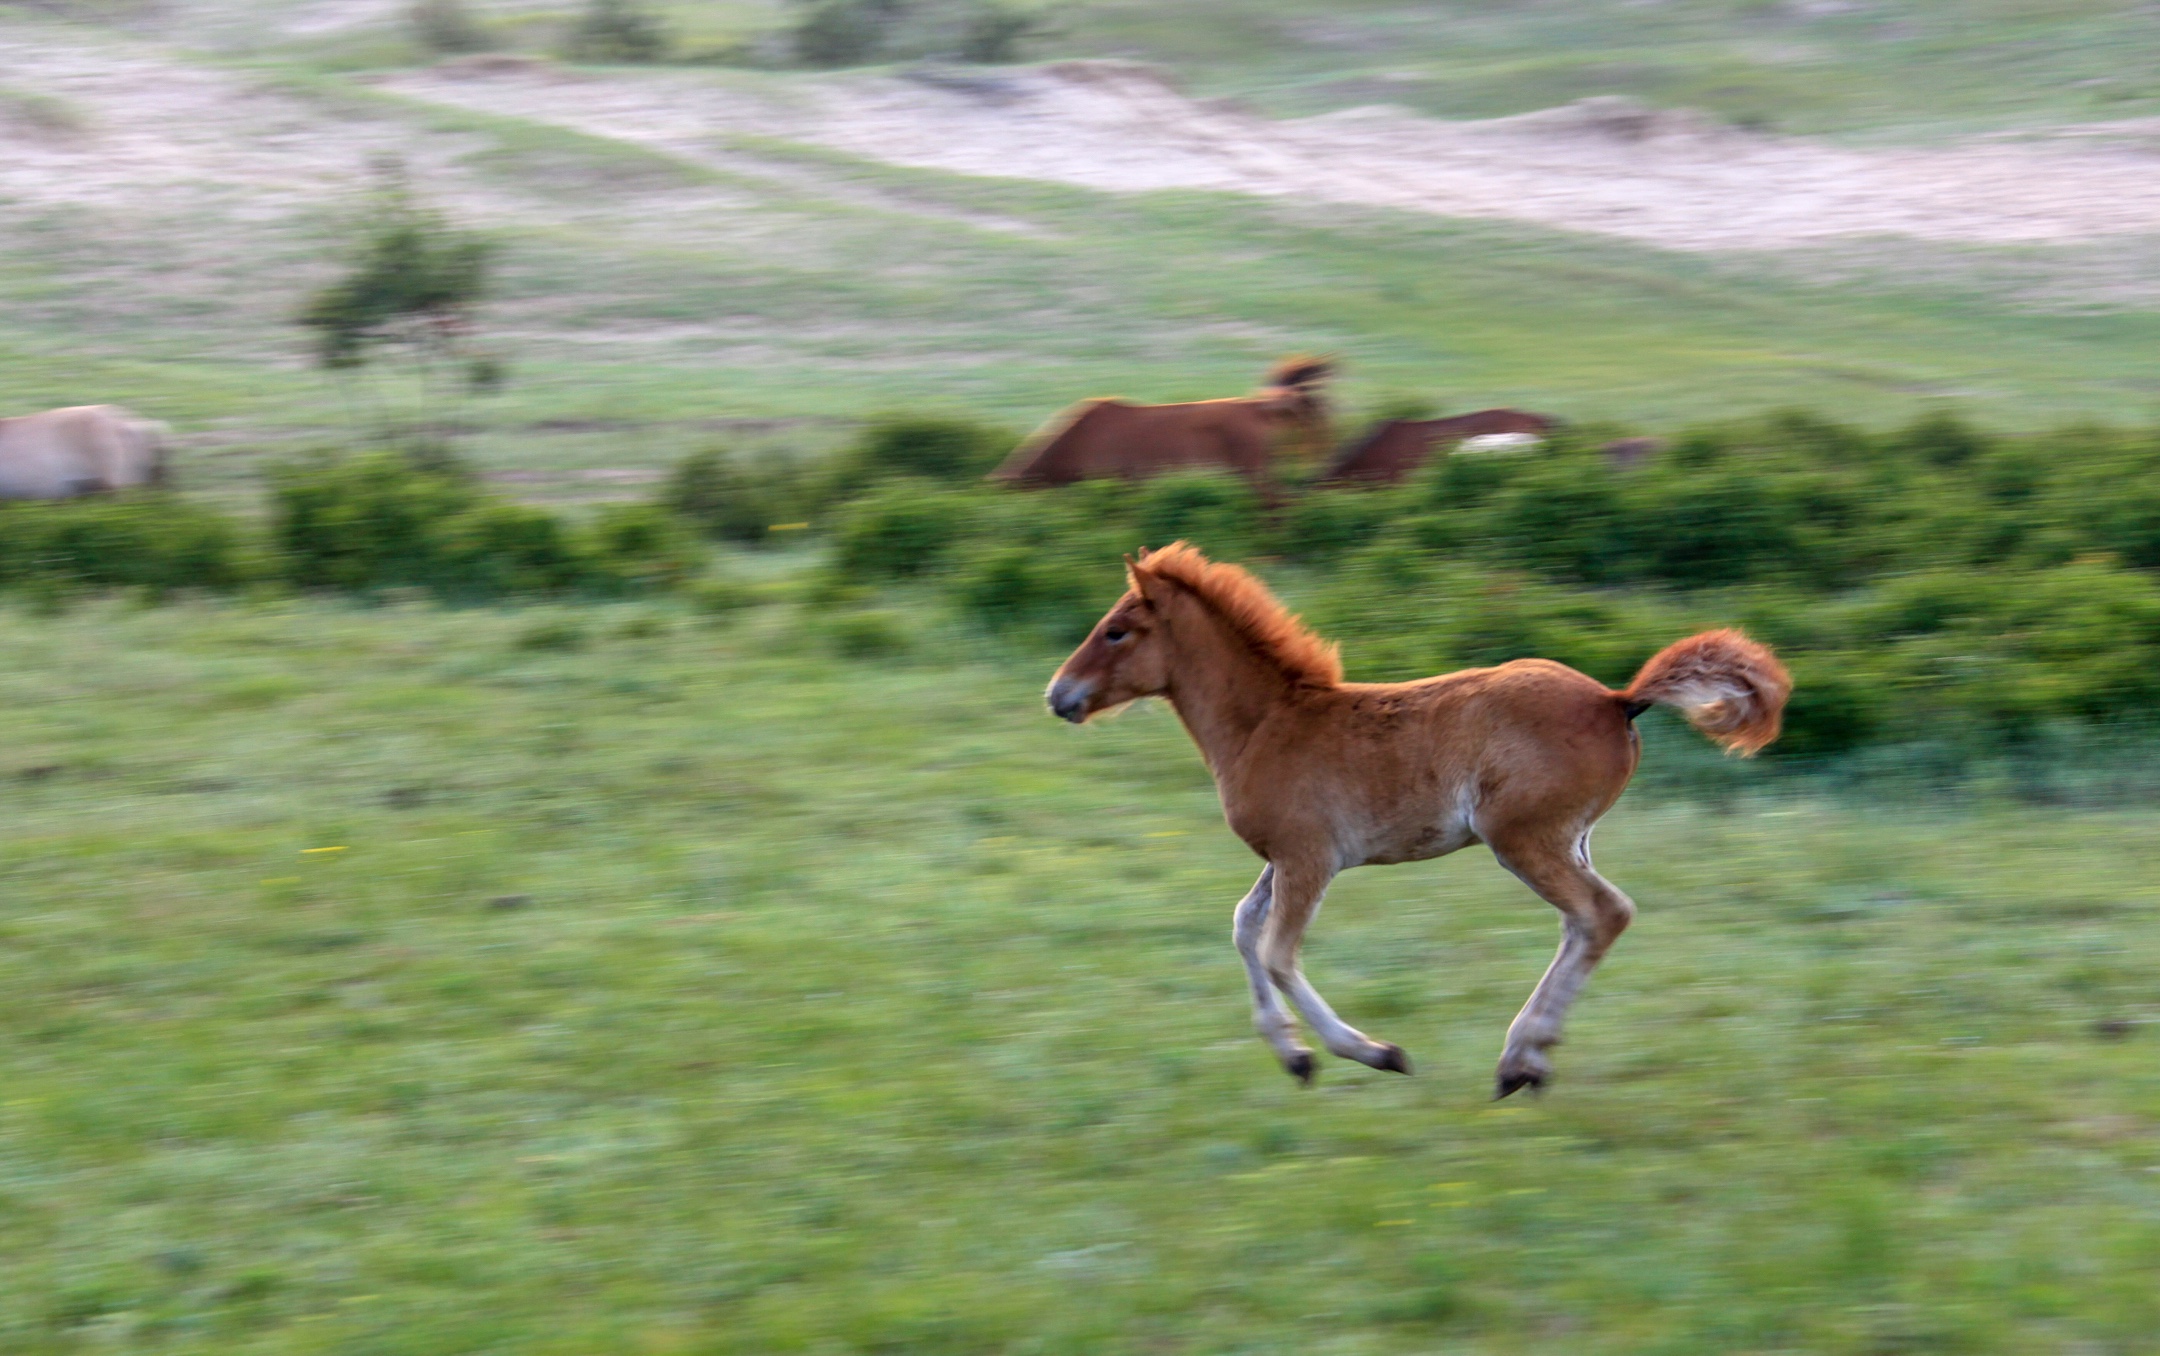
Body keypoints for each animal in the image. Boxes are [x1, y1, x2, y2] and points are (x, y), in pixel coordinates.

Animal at [1045, 537, 1788, 1092]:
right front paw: (1294, 1056)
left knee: (1602, 914)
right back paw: (1525, 1060)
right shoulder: (1285, 859)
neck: (1266, 724)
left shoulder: (1309, 858)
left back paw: (1520, 1059)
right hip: (1570, 839)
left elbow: (1277, 951)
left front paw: (1375, 1052)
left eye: (1116, 631)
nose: (1059, 695)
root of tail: (1617, 699)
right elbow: (1242, 929)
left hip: (1522, 838)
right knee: (1583, 923)